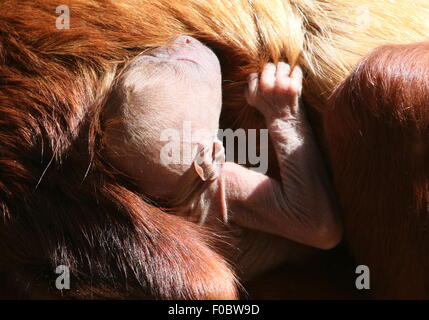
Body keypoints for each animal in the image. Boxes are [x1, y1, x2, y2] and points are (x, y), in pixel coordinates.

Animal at [103, 35, 342, 250]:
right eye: (187, 63)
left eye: (151, 56)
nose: (185, 39)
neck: (184, 196)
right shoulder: (226, 182)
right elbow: (311, 221)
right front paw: (278, 98)